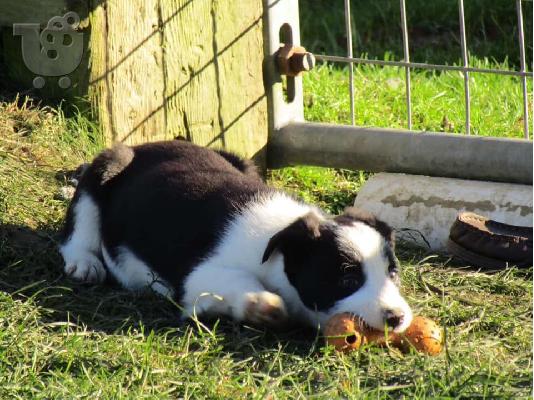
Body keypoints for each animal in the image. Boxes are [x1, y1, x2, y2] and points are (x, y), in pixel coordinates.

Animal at [61, 139, 414, 332]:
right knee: (77, 229)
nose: (396, 318)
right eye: (347, 280)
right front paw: (262, 304)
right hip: (106, 165)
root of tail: (142, 145)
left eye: (392, 273)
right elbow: (237, 280)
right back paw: (84, 263)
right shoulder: (197, 276)